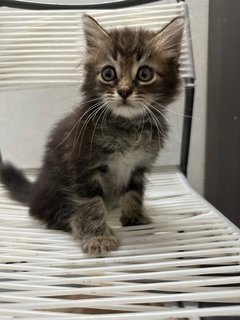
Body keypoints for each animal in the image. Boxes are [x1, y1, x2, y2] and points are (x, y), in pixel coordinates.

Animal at [0, 15, 184, 256]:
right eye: (108, 73)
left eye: (144, 74)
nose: (124, 91)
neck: (127, 126)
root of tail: (35, 192)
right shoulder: (83, 165)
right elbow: (91, 204)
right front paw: (97, 237)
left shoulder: (138, 166)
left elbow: (134, 192)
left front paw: (134, 217)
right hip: (54, 187)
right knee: (52, 215)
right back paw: (76, 224)